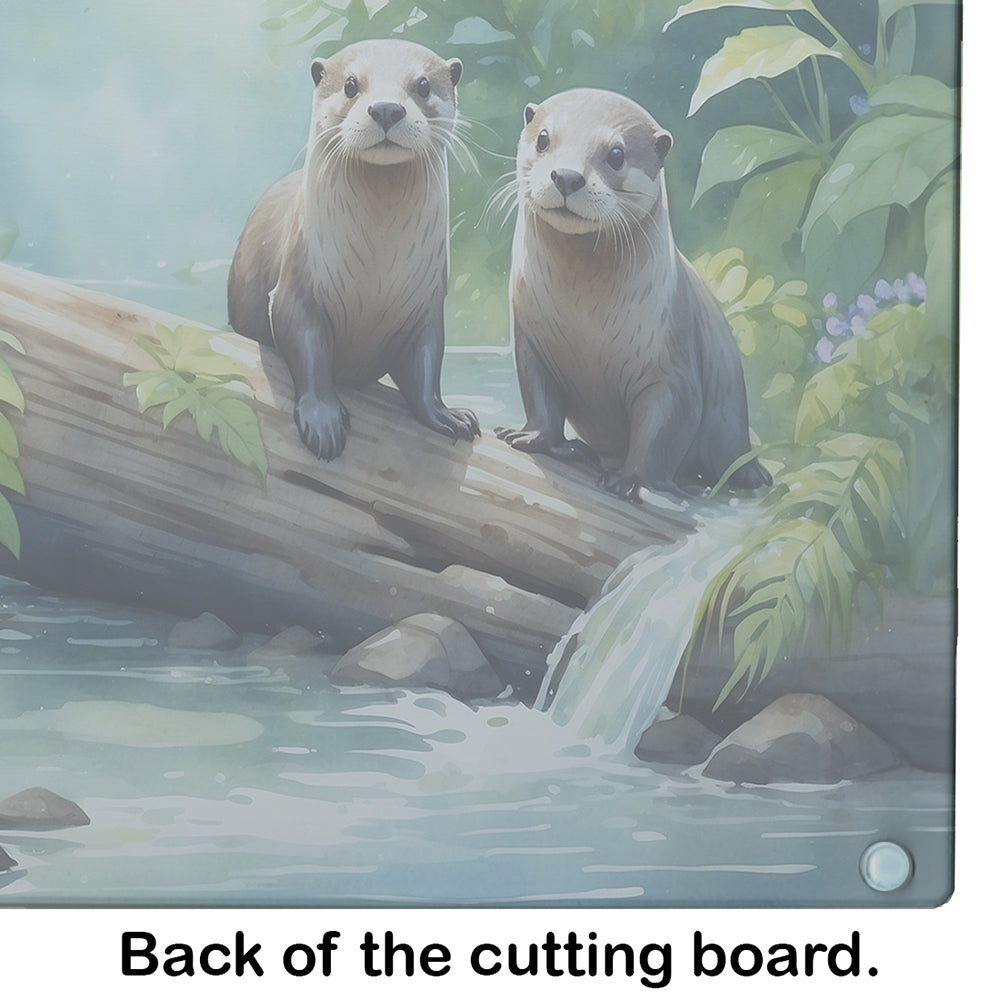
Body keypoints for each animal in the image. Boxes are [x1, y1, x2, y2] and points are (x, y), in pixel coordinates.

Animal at [228, 39, 479, 460]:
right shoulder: (299, 288)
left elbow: (426, 365)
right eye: (349, 84)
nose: (387, 108)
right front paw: (322, 420)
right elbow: (309, 353)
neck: (375, 273)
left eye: (423, 85)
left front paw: (446, 414)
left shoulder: (425, 305)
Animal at [496, 89, 771, 501]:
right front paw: (532, 438)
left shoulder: (671, 367)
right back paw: (579, 449)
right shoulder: (532, 341)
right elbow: (538, 397)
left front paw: (634, 480)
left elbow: (663, 430)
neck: (585, 325)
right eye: (543, 138)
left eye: (616, 154)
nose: (567, 176)